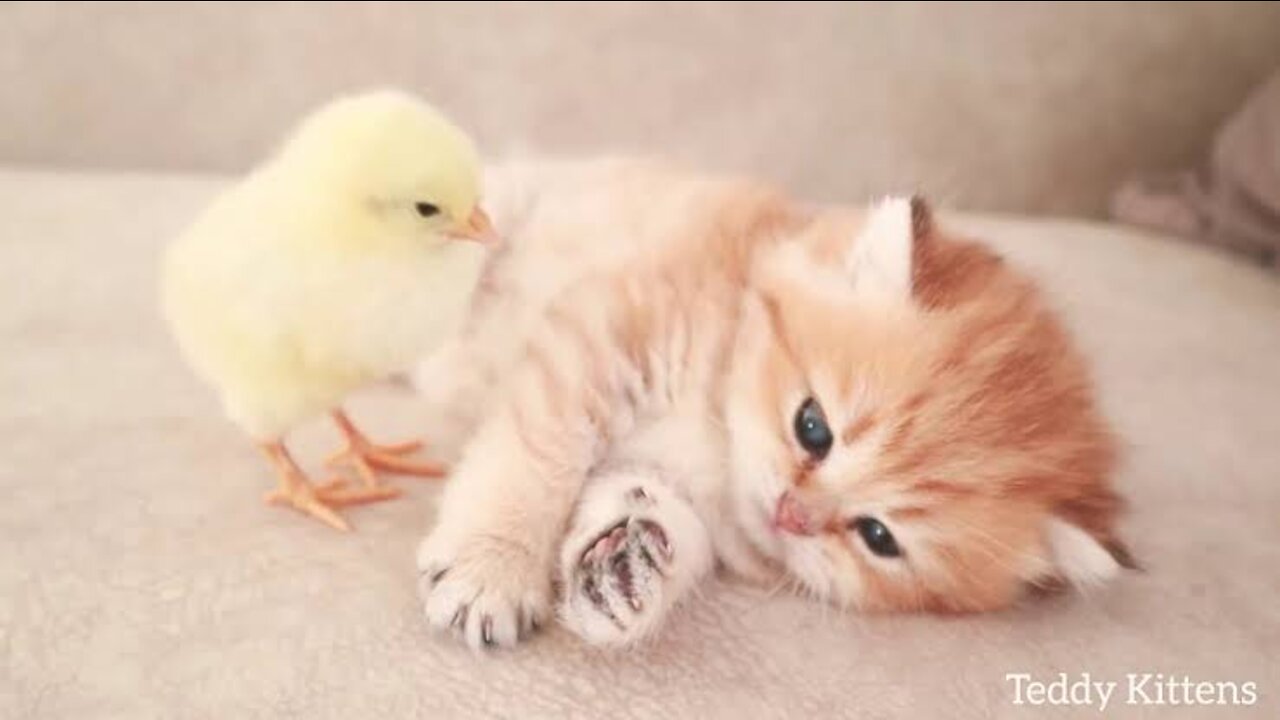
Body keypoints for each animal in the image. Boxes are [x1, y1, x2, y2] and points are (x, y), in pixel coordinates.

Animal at [409, 155, 1131, 645]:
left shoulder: (657, 471)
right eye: (813, 427)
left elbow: (652, 511)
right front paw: (492, 569)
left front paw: (624, 569)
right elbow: (537, 456)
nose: (792, 514)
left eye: (878, 537)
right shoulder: (600, 340)